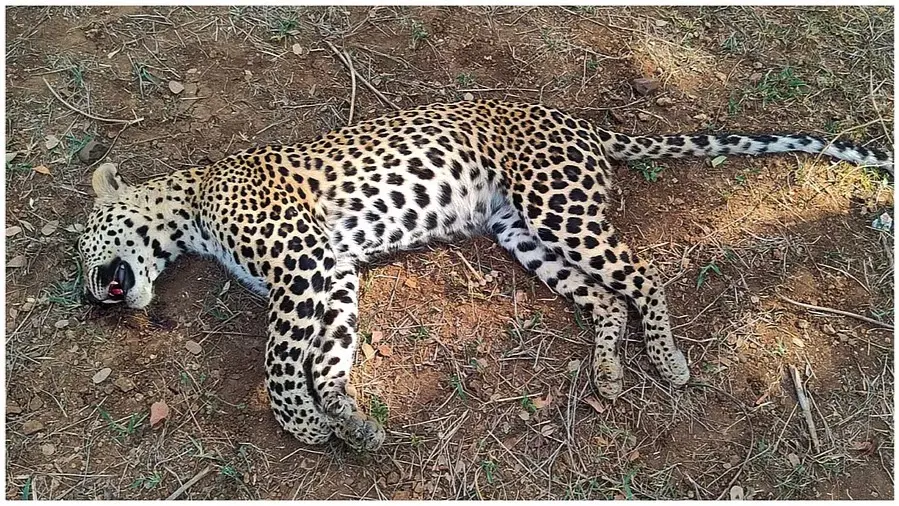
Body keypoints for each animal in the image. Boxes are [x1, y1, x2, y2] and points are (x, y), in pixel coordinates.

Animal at [77, 100, 892, 452]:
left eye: (84, 249)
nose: (92, 298)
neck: (189, 203)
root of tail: (581, 122)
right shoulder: (332, 275)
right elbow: (329, 357)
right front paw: (348, 421)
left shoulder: (305, 268)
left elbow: (281, 362)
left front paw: (305, 424)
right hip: (522, 234)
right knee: (604, 298)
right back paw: (608, 376)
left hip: (557, 207)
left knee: (642, 272)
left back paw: (667, 360)